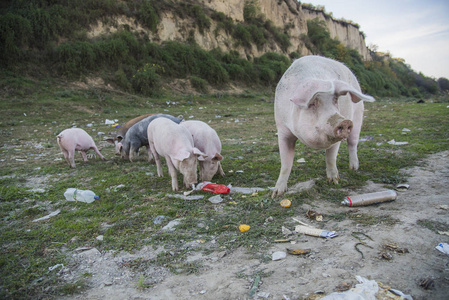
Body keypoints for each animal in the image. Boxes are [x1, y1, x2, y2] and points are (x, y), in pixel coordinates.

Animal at [272, 55, 372, 198]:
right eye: (313, 103)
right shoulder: (282, 130)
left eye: (335, 100)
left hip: (358, 116)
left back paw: (353, 168)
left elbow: (331, 157)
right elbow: (285, 163)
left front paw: (334, 181)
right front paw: (277, 194)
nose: (343, 121)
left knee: (352, 143)